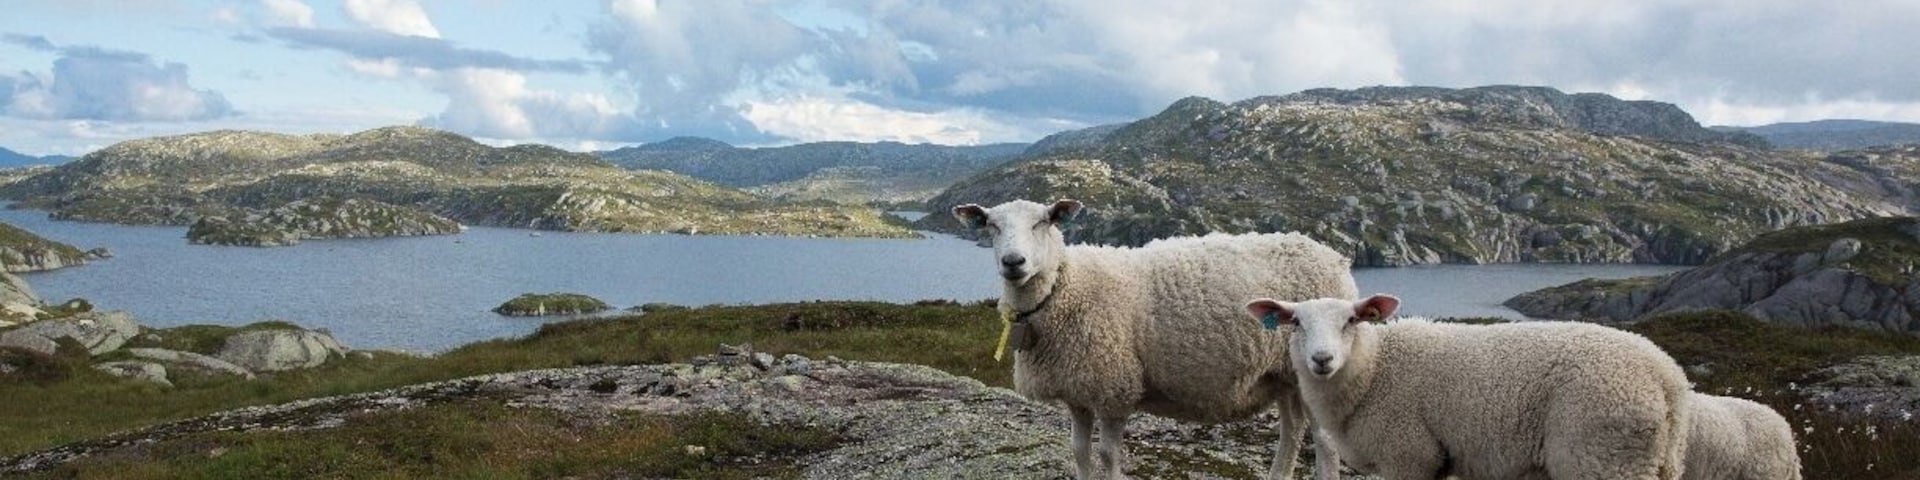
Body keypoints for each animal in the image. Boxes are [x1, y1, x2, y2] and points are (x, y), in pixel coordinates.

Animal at [951, 199, 1356, 480]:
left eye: (1042, 222)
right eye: (991, 225)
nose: (1013, 262)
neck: (1063, 287)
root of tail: (1333, 257)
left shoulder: (1114, 387)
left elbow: (1108, 455)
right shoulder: (1077, 390)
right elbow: (1079, 451)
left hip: (1314, 365)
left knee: (1324, 441)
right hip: (1285, 373)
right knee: (1292, 430)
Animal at [1246, 294, 1692, 480]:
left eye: (1352, 321)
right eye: (1296, 322)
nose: (1321, 360)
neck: (1374, 370)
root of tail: (1666, 374)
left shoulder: (1410, 455)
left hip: (1601, 455)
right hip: (1658, 460)